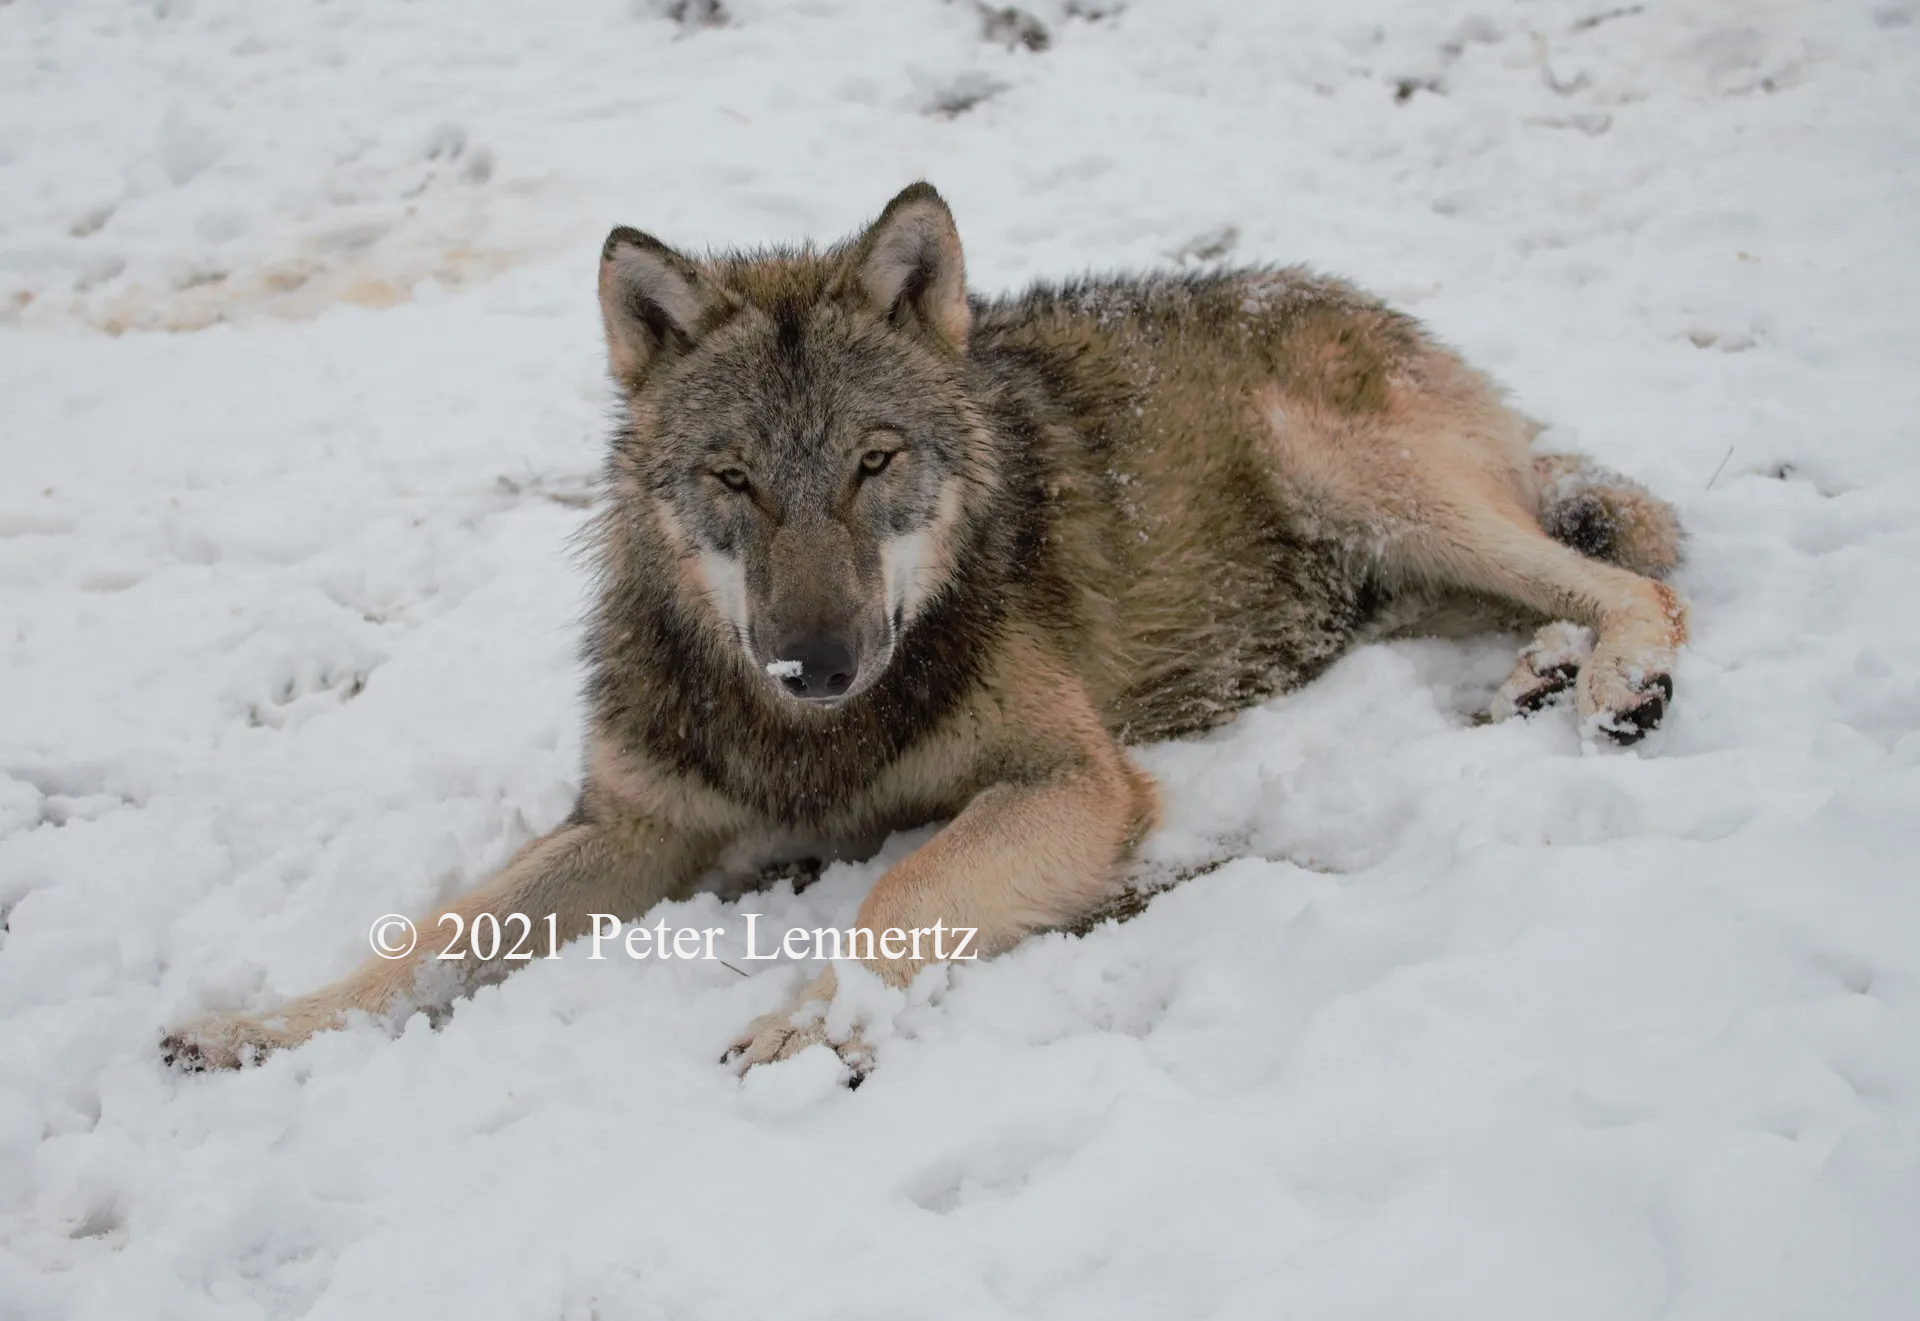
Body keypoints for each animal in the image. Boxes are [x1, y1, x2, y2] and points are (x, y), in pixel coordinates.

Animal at [163, 183, 1685, 1076]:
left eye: (873, 463)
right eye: (736, 480)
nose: (814, 662)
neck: (809, 743)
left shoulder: (1073, 779)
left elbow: (896, 896)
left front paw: (806, 1021)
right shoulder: (634, 825)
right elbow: (429, 941)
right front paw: (259, 1027)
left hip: (1361, 486)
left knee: (1642, 576)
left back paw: (1616, 680)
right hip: (1391, 557)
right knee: (1580, 563)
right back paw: (1543, 670)